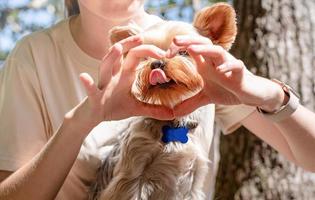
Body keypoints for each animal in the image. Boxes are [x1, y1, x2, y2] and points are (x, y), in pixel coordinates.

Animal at [89, 3, 237, 200]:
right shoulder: (131, 174)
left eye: (183, 52)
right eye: (145, 56)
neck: (175, 121)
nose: (157, 63)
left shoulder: (194, 178)